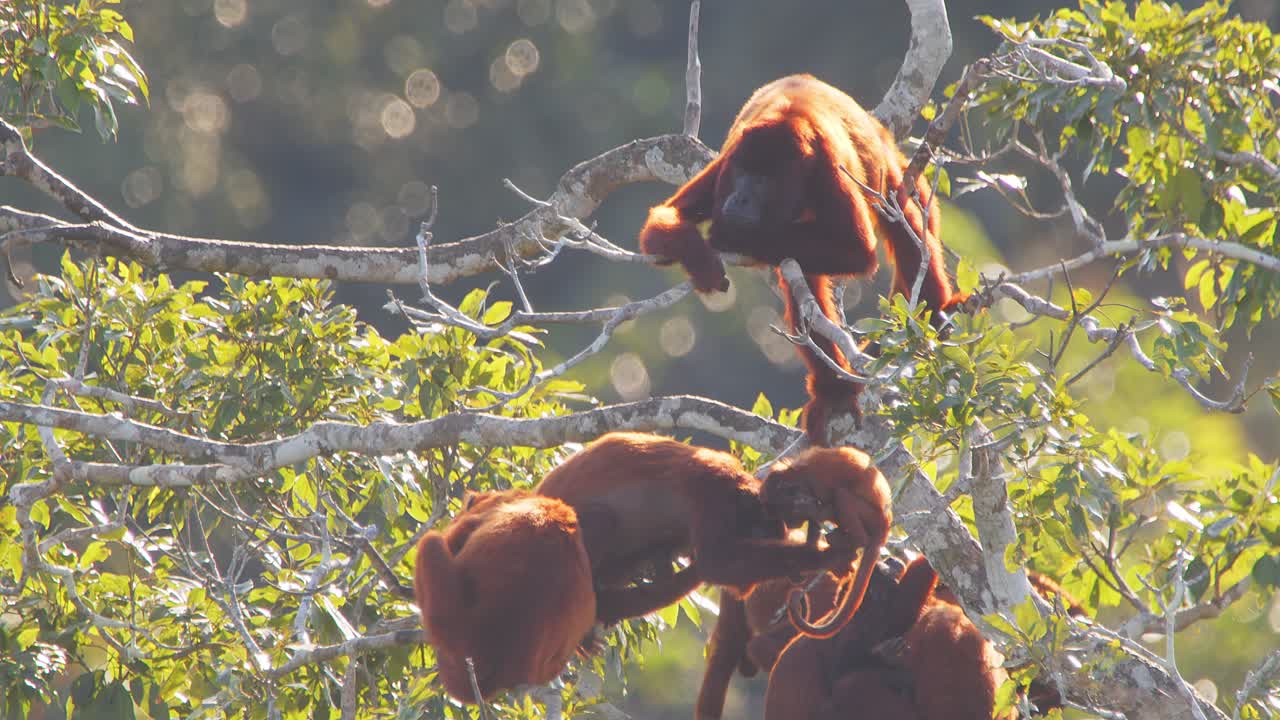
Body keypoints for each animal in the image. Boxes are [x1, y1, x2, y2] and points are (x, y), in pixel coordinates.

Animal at [639, 74, 966, 445]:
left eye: (763, 181)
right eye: (742, 173)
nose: (739, 199)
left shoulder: (829, 167)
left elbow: (859, 252)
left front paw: (733, 236)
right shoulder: (727, 163)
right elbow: (663, 220)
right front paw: (701, 259)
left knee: (902, 217)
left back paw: (931, 311)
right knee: (804, 282)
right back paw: (833, 391)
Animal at [759, 445, 892, 638]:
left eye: (787, 513)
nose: (791, 524)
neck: (797, 474)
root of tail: (885, 526)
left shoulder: (817, 481)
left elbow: (822, 509)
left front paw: (809, 509)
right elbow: (815, 524)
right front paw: (804, 559)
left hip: (872, 517)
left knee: (841, 496)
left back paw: (855, 539)